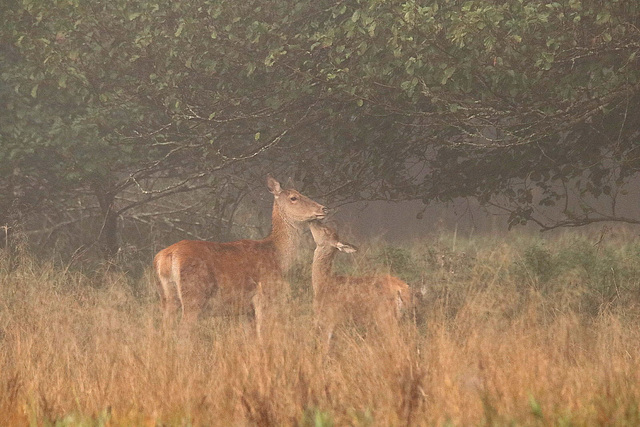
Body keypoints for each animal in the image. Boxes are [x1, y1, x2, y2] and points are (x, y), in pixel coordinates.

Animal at [153, 175, 328, 334]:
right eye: (294, 197)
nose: (323, 208)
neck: (277, 255)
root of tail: (166, 256)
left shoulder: (246, 309)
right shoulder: (264, 295)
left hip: (167, 297)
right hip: (194, 295)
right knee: (183, 332)